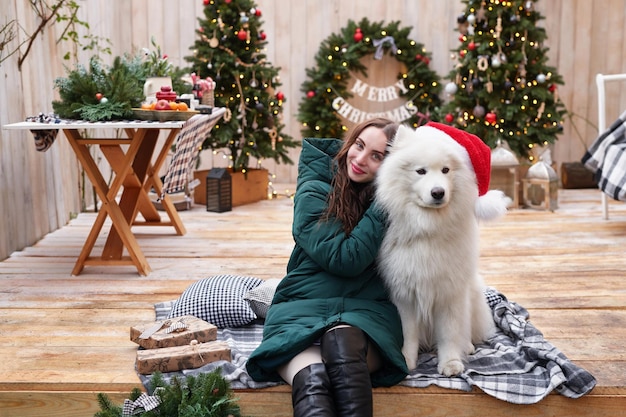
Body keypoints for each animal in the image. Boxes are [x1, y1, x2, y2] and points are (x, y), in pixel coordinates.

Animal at [372, 122, 510, 376]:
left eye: (446, 170)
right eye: (420, 171)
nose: (438, 192)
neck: (428, 228)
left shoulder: (449, 293)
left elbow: (449, 333)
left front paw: (450, 363)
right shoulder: (405, 296)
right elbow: (409, 334)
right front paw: (406, 361)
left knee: (467, 330)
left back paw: (468, 346)